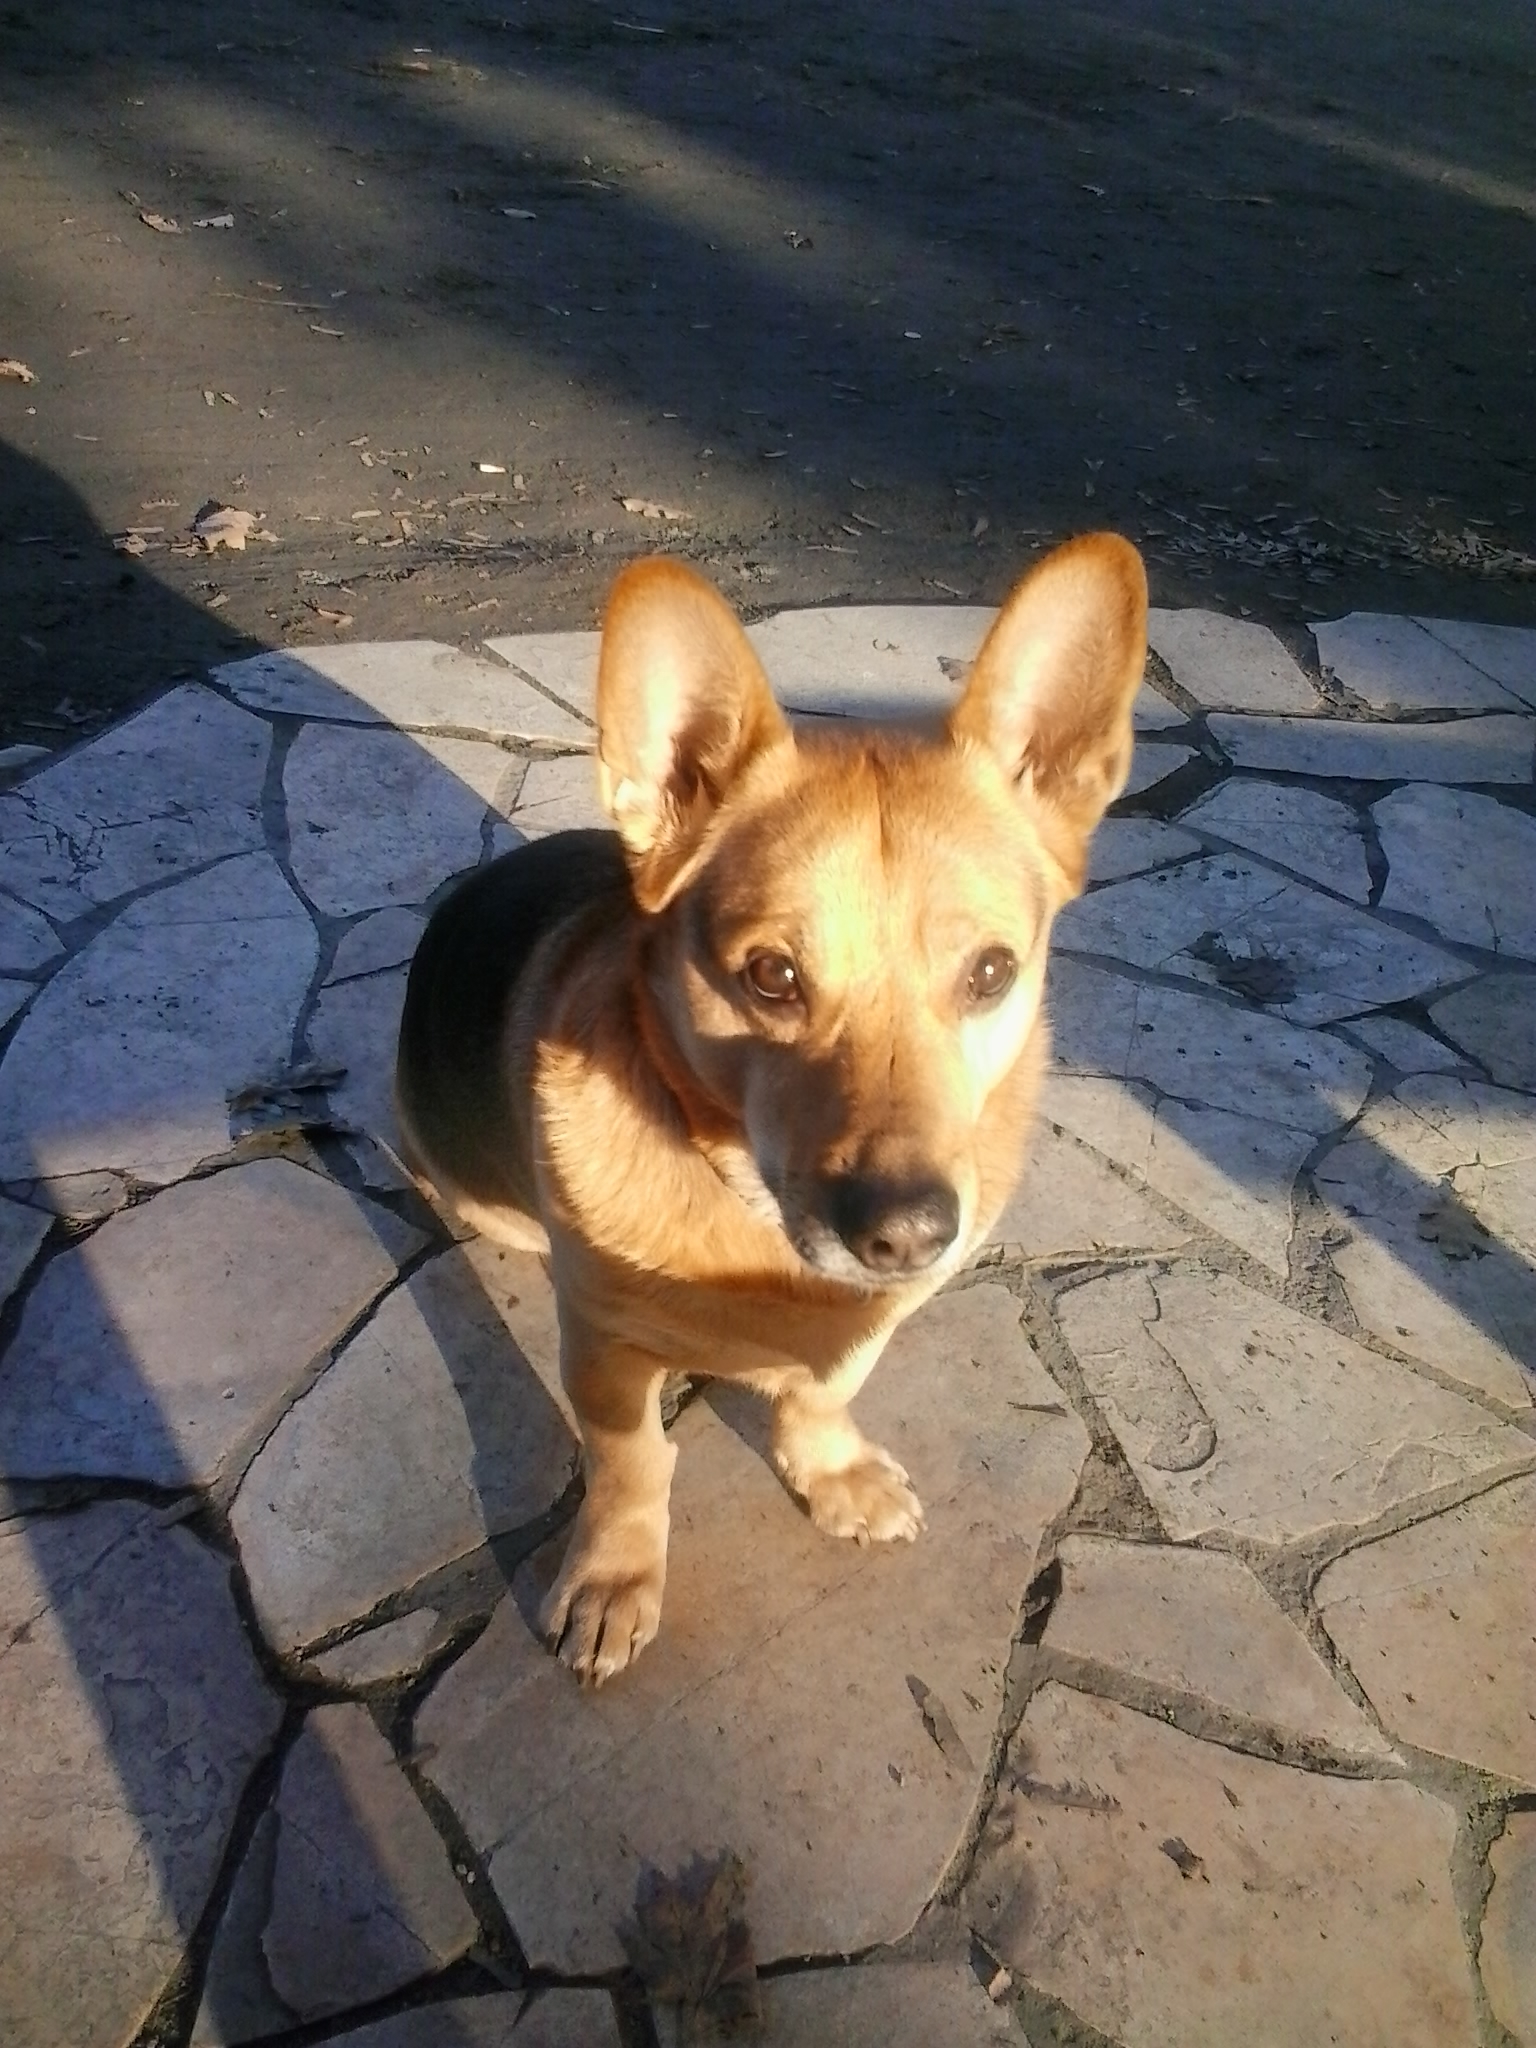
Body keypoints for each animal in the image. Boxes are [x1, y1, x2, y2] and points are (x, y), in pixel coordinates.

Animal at [403, 528, 1146, 1679]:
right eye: (772, 977)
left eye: (990, 973)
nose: (905, 1234)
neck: (745, 1210)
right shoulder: (606, 1353)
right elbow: (632, 1463)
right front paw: (617, 1573)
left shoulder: (867, 1324)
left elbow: (824, 1390)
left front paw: (828, 1468)